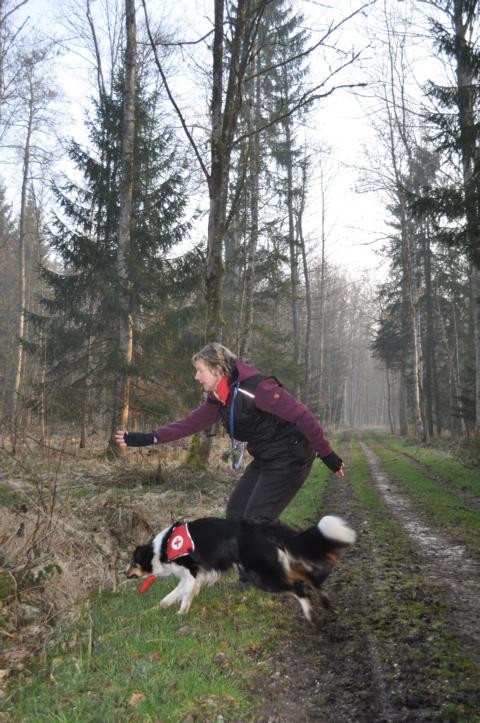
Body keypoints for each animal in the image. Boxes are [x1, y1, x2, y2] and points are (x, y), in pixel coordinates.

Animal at [126, 515, 355, 622]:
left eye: (132, 563)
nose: (125, 574)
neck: (160, 548)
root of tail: (262, 527)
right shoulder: (191, 577)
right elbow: (170, 597)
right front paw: (155, 610)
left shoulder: (191, 572)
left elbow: (182, 597)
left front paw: (181, 614)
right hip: (273, 565)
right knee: (306, 576)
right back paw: (324, 602)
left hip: (262, 574)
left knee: (298, 587)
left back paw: (310, 614)